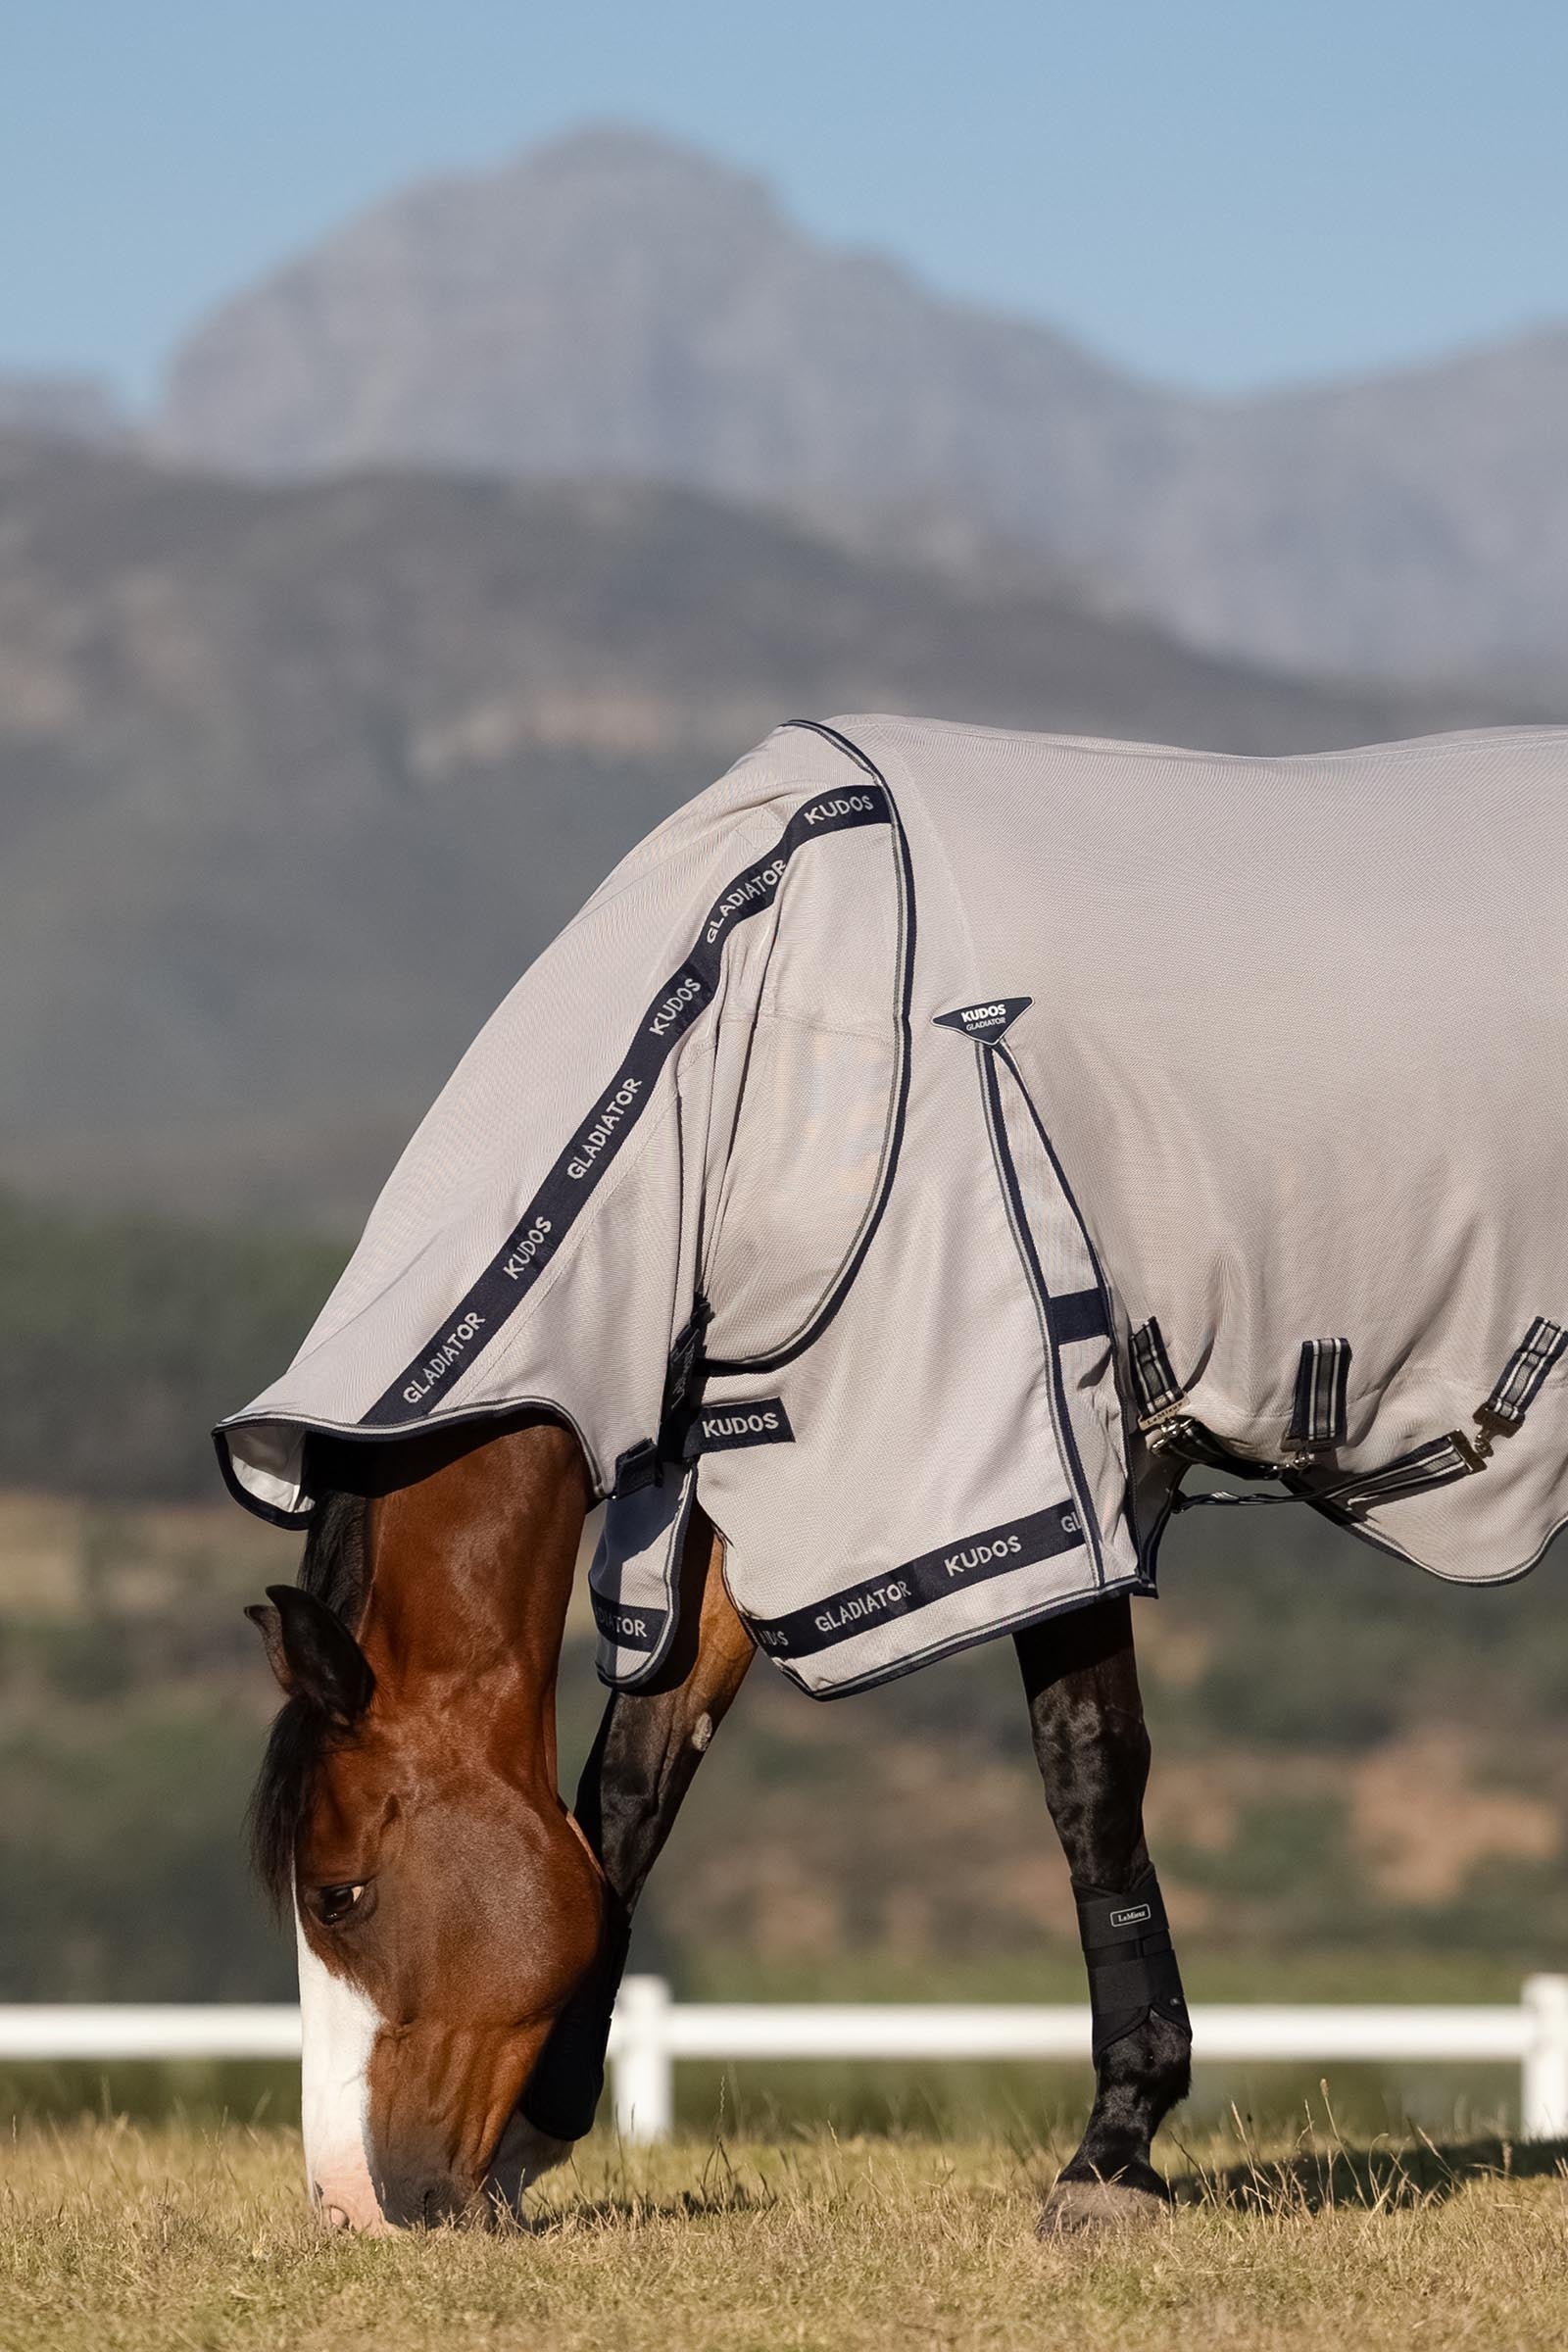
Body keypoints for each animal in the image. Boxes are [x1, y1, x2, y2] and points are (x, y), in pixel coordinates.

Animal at [247, 1415, 1189, 2233]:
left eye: (337, 1898)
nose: (341, 2205)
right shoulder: (703, 1523)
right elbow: (627, 1796)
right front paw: (530, 2138)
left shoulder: (1067, 1515)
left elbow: (1088, 1761)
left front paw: (1113, 2154)